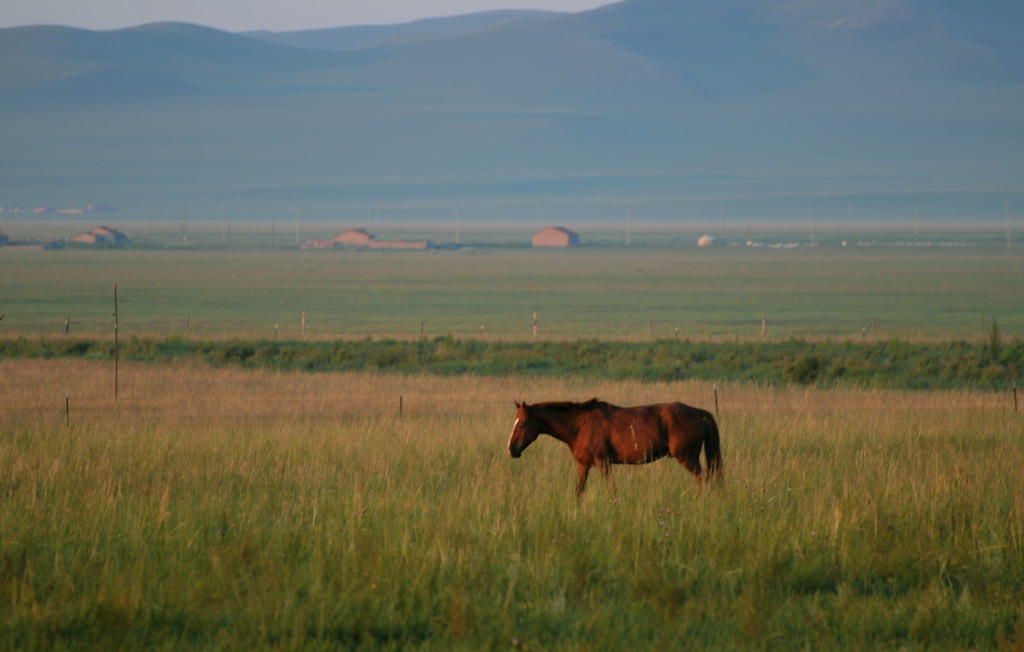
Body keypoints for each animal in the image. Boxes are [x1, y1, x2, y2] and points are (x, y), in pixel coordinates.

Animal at [503, 399, 720, 495]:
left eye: (522, 424)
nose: (511, 450)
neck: (580, 425)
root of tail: (699, 412)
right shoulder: (584, 465)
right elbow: (578, 491)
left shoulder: (603, 463)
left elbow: (611, 490)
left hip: (687, 457)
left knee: (703, 480)